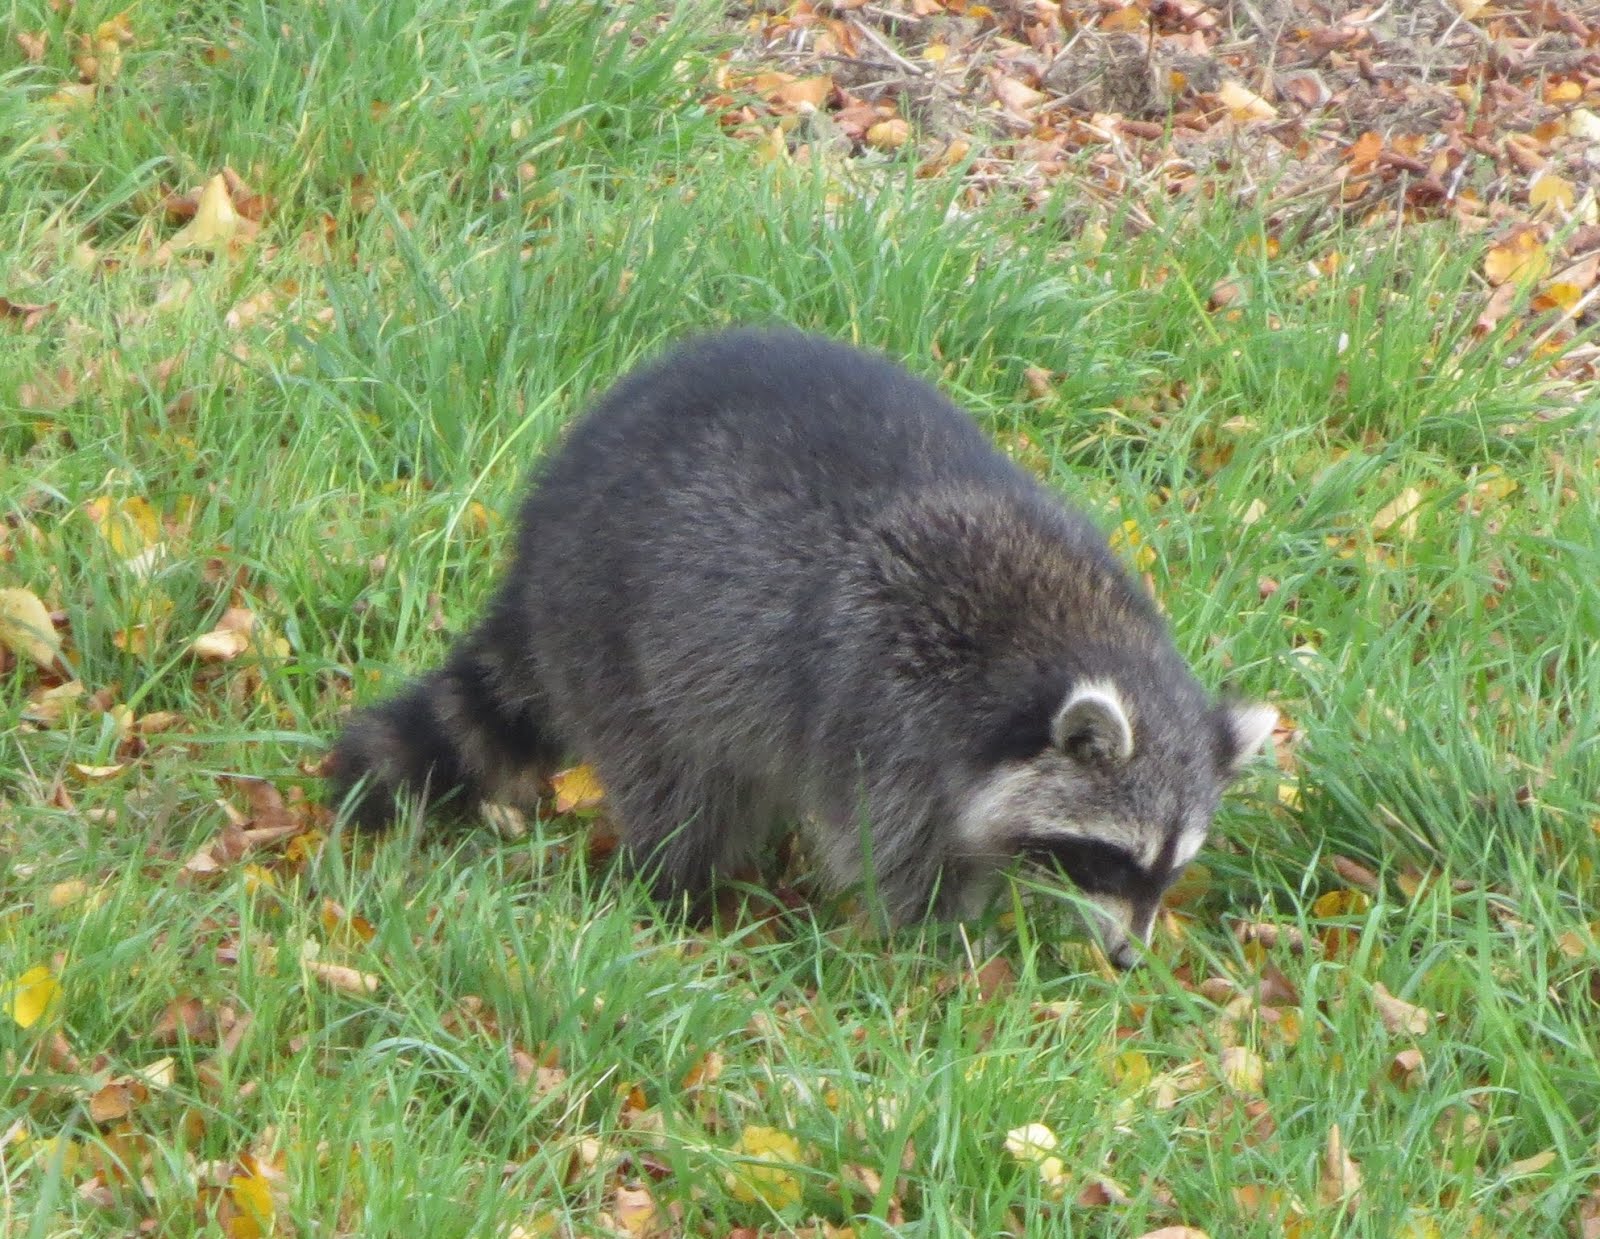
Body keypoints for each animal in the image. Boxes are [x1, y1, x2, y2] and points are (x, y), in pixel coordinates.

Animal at [328, 329, 1273, 973]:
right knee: (679, 786)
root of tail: (536, 544)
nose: (1130, 959)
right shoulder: (887, 704)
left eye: (1170, 869)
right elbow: (894, 847)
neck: (1065, 629)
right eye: (1108, 856)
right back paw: (676, 887)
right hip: (622, 637)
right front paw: (937, 949)